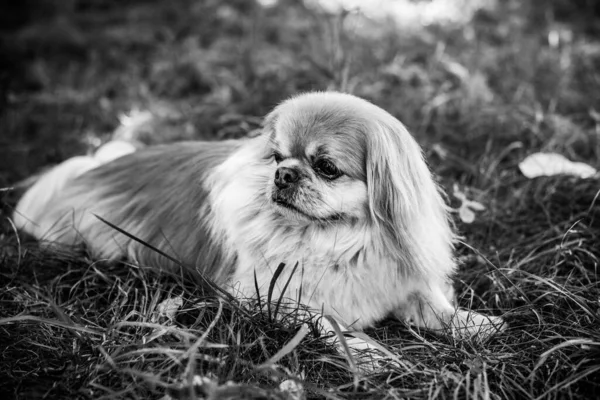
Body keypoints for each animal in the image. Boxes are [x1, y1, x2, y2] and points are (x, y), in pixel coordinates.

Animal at [12, 92, 502, 368]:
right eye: (277, 157)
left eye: (326, 168)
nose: (284, 175)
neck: (334, 237)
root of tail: (90, 170)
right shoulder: (267, 298)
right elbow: (325, 320)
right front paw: (369, 353)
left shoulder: (399, 280)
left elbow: (433, 305)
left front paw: (471, 325)